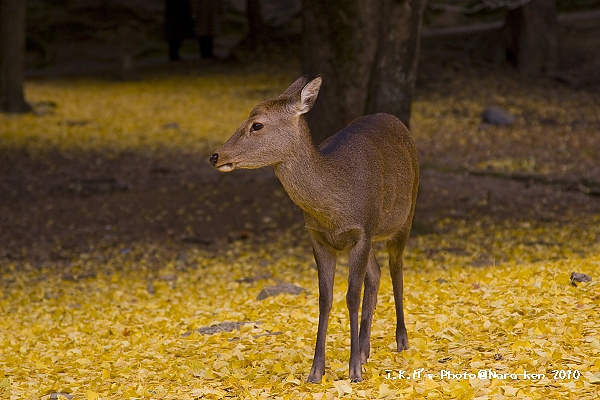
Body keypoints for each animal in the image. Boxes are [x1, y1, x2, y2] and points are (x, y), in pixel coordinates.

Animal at [209, 76, 420, 384]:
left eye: (257, 124)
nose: (215, 156)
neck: (334, 209)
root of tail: (396, 121)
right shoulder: (319, 237)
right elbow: (325, 298)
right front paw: (316, 371)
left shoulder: (362, 230)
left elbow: (351, 297)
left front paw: (354, 372)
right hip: (373, 235)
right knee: (376, 274)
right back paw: (365, 348)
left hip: (405, 215)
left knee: (396, 270)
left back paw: (401, 340)